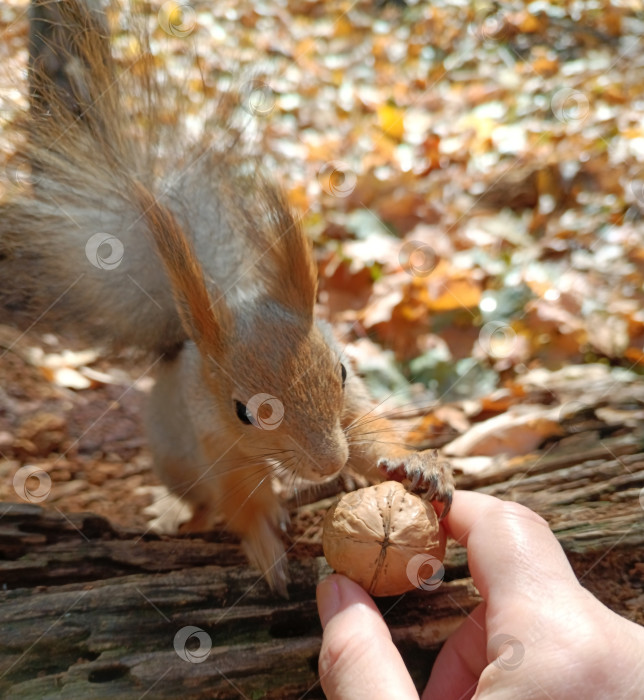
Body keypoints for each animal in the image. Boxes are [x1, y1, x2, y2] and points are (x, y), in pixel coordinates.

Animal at [0, 0, 452, 592]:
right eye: (244, 412)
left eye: (342, 371)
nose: (330, 464)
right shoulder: (217, 447)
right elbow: (240, 503)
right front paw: (266, 549)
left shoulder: (351, 408)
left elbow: (371, 437)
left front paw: (420, 466)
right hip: (176, 461)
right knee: (203, 501)